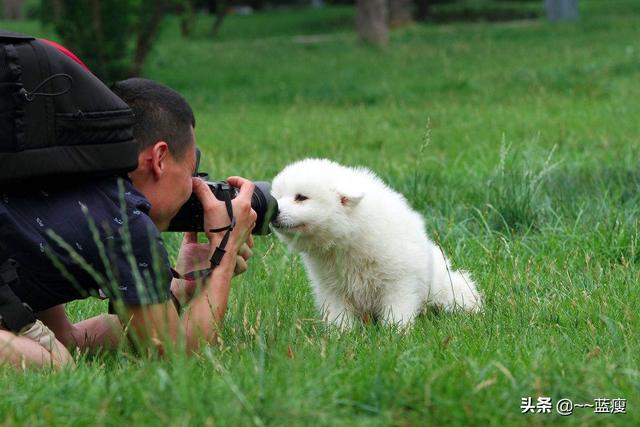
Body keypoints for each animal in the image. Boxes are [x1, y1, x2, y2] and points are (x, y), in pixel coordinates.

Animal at [272, 159, 484, 330]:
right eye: (278, 196)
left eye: (301, 197)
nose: (274, 212)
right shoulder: (331, 284)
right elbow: (338, 312)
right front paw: (339, 336)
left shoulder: (399, 278)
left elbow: (397, 307)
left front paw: (395, 333)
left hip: (445, 287)